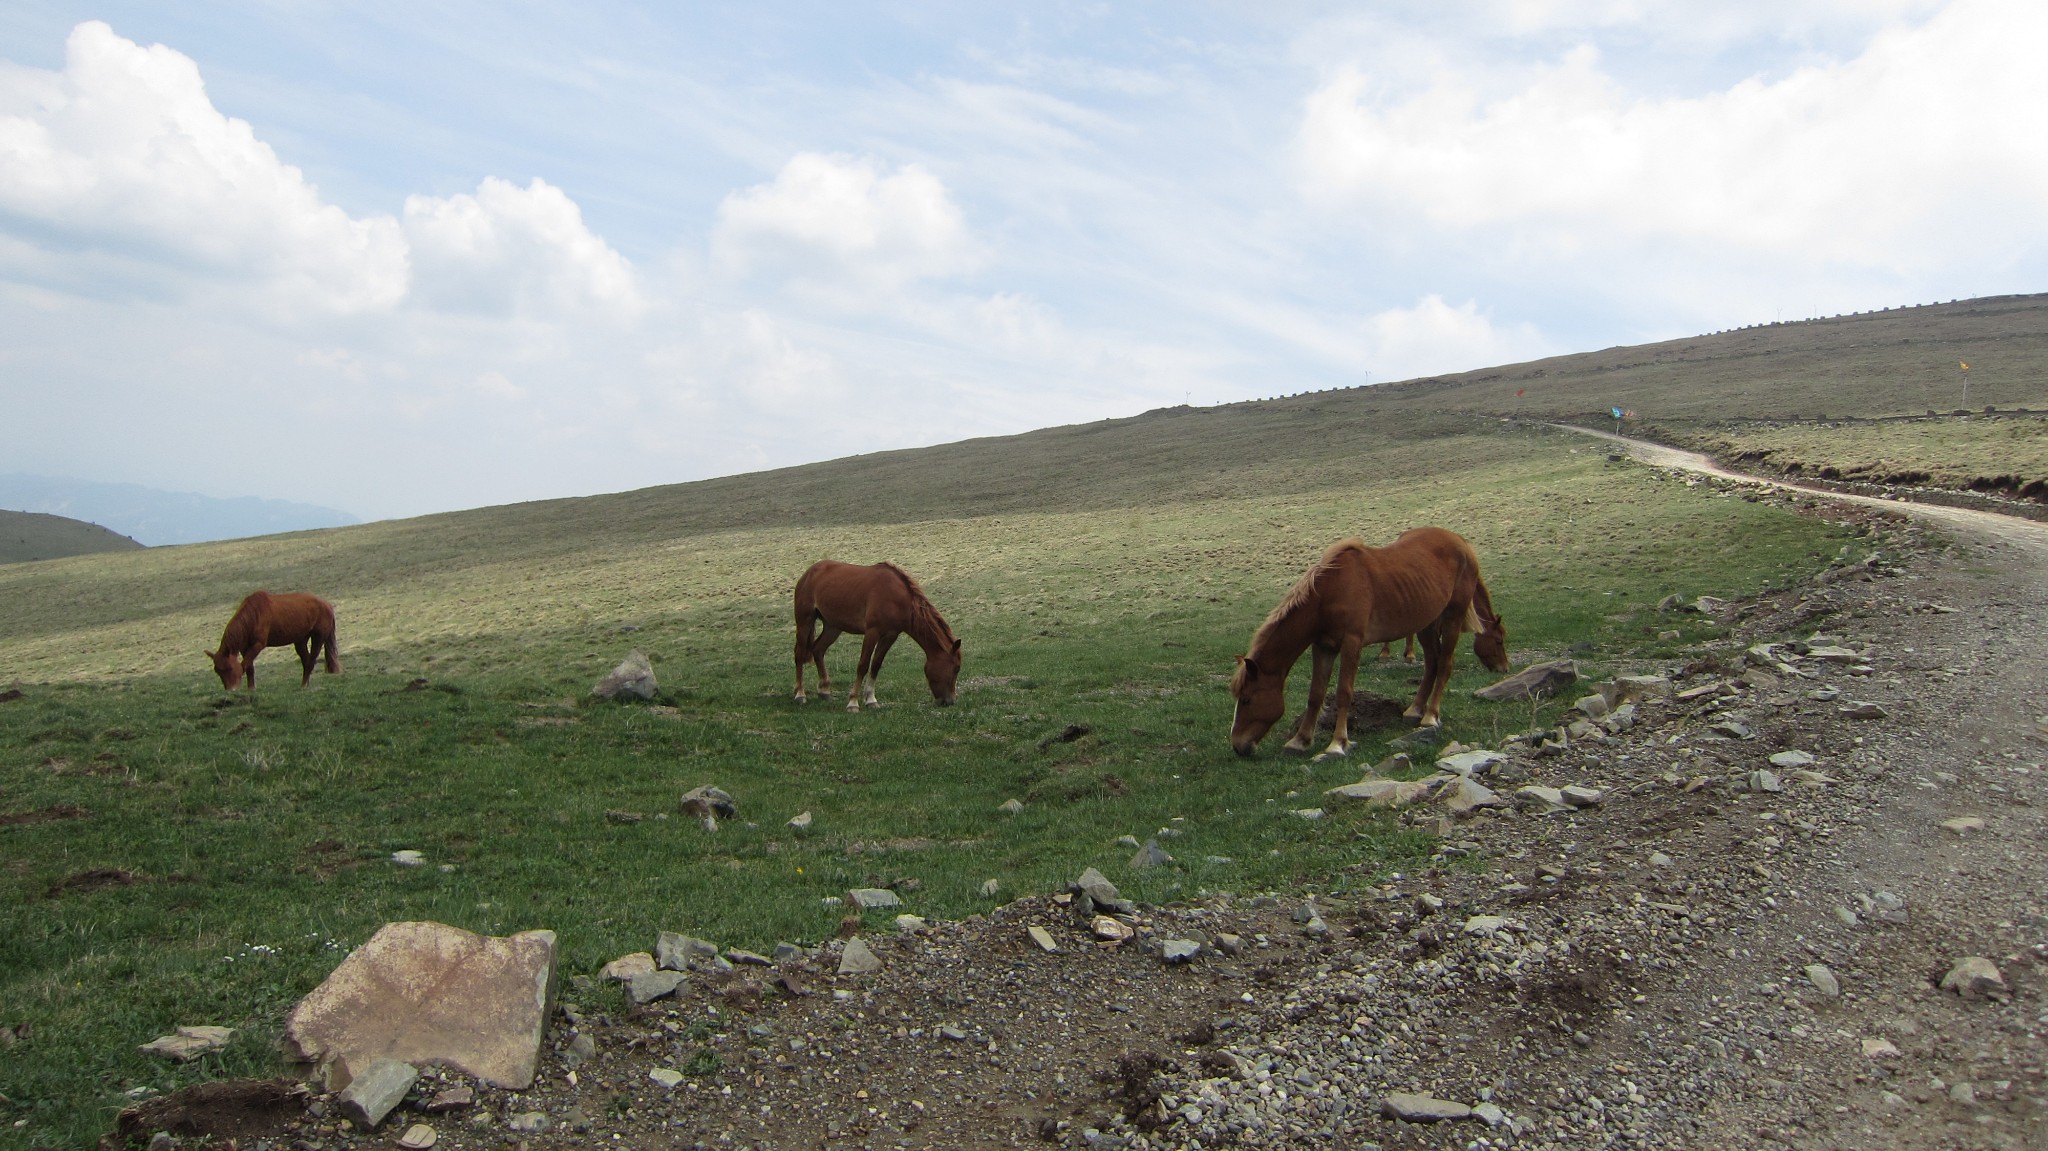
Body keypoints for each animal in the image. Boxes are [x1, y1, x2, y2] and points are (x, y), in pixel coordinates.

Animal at [207, 585, 339, 684]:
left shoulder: (258, 644)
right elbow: (249, 668)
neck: (254, 614)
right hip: (300, 641)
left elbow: (245, 664)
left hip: (318, 637)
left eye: (229, 668)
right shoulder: (244, 647)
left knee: (311, 661)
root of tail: (327, 604)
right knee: (307, 663)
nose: (231, 689)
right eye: (217, 671)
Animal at [794, 557, 962, 708]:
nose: (950, 701)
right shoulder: (872, 632)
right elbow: (863, 665)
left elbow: (875, 665)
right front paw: (853, 702)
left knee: (818, 649)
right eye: (956, 668)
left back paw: (824, 691)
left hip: (833, 627)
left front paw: (871, 700)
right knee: (799, 654)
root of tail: (809, 573)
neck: (897, 597)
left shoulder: (890, 635)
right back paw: (800, 695)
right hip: (804, 621)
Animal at [1228, 528, 1507, 757]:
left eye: (1247, 700)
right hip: (1426, 623)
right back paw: (1415, 709)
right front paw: (1300, 740)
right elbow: (1316, 694)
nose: (1238, 746)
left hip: (1452, 618)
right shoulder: (1323, 646)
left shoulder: (1352, 642)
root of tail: (1461, 542)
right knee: (1432, 663)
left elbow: (1344, 692)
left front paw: (1338, 743)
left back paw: (1430, 716)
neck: (1327, 595)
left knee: (1445, 664)